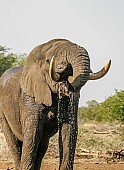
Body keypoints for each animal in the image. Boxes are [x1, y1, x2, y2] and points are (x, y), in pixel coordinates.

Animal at [0, 39, 111, 169]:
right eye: (49, 60)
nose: (65, 83)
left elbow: (69, 129)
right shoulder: (29, 98)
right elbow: (33, 132)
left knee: (42, 146)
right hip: (3, 113)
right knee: (15, 145)